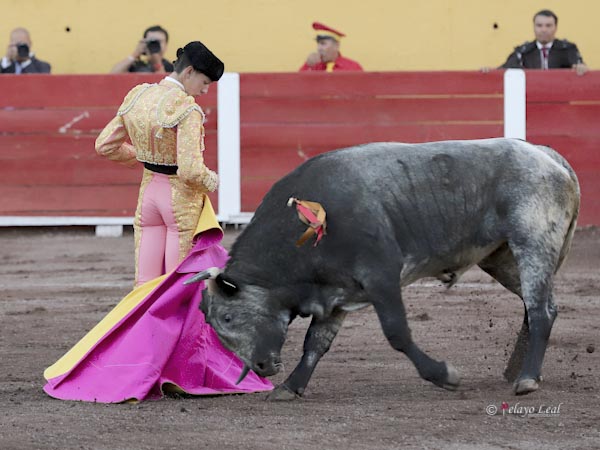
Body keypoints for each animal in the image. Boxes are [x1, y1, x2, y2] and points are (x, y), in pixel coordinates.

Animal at [190, 139, 580, 400]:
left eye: (227, 318)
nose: (261, 367)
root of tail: (547, 155)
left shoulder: (381, 277)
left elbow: (397, 333)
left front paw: (444, 375)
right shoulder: (335, 294)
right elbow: (315, 343)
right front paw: (290, 387)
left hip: (532, 243)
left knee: (541, 310)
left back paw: (527, 379)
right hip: (501, 258)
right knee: (539, 305)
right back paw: (517, 371)